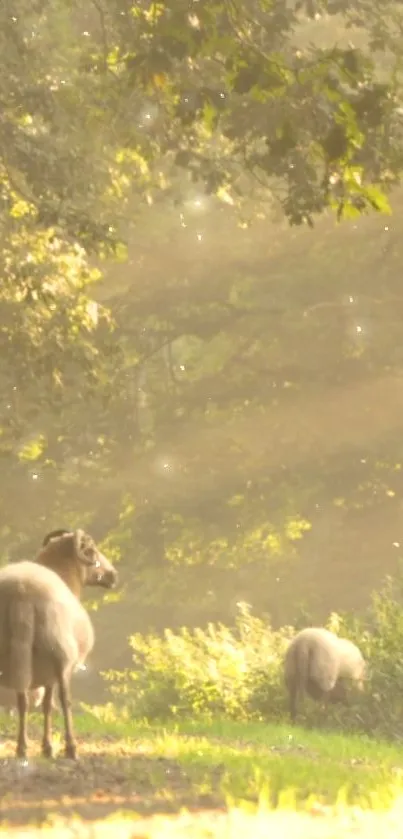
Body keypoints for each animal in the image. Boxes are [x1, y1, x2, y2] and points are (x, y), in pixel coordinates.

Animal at [0, 532, 118, 760]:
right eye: (92, 551)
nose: (113, 575)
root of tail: (21, 593)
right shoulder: (53, 668)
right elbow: (50, 705)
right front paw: (48, 746)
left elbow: (43, 704)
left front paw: (45, 746)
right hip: (59, 654)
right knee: (64, 701)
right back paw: (71, 747)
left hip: (15, 657)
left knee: (22, 701)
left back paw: (22, 747)